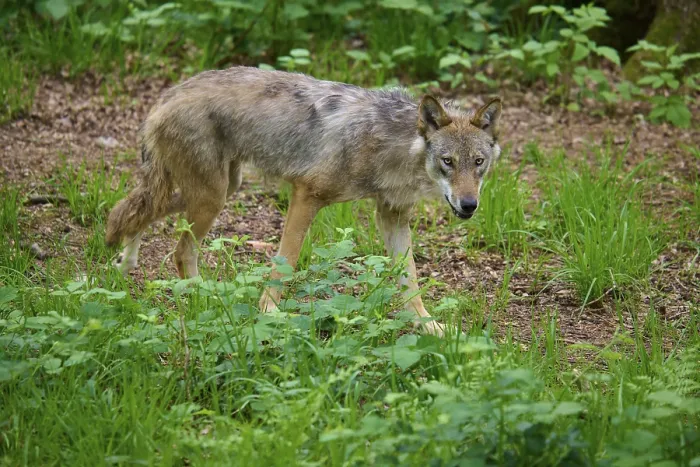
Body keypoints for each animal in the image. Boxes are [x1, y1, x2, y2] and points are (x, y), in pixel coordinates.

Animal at [105, 66, 502, 335]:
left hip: (221, 189)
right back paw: (205, 296)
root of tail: (169, 93)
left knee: (134, 211)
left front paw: (430, 327)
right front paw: (269, 315)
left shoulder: (392, 218)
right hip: (212, 197)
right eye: (448, 162)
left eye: (478, 163)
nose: (469, 205)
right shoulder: (306, 195)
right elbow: (285, 263)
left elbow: (411, 282)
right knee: (178, 248)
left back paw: (125, 261)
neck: (393, 146)